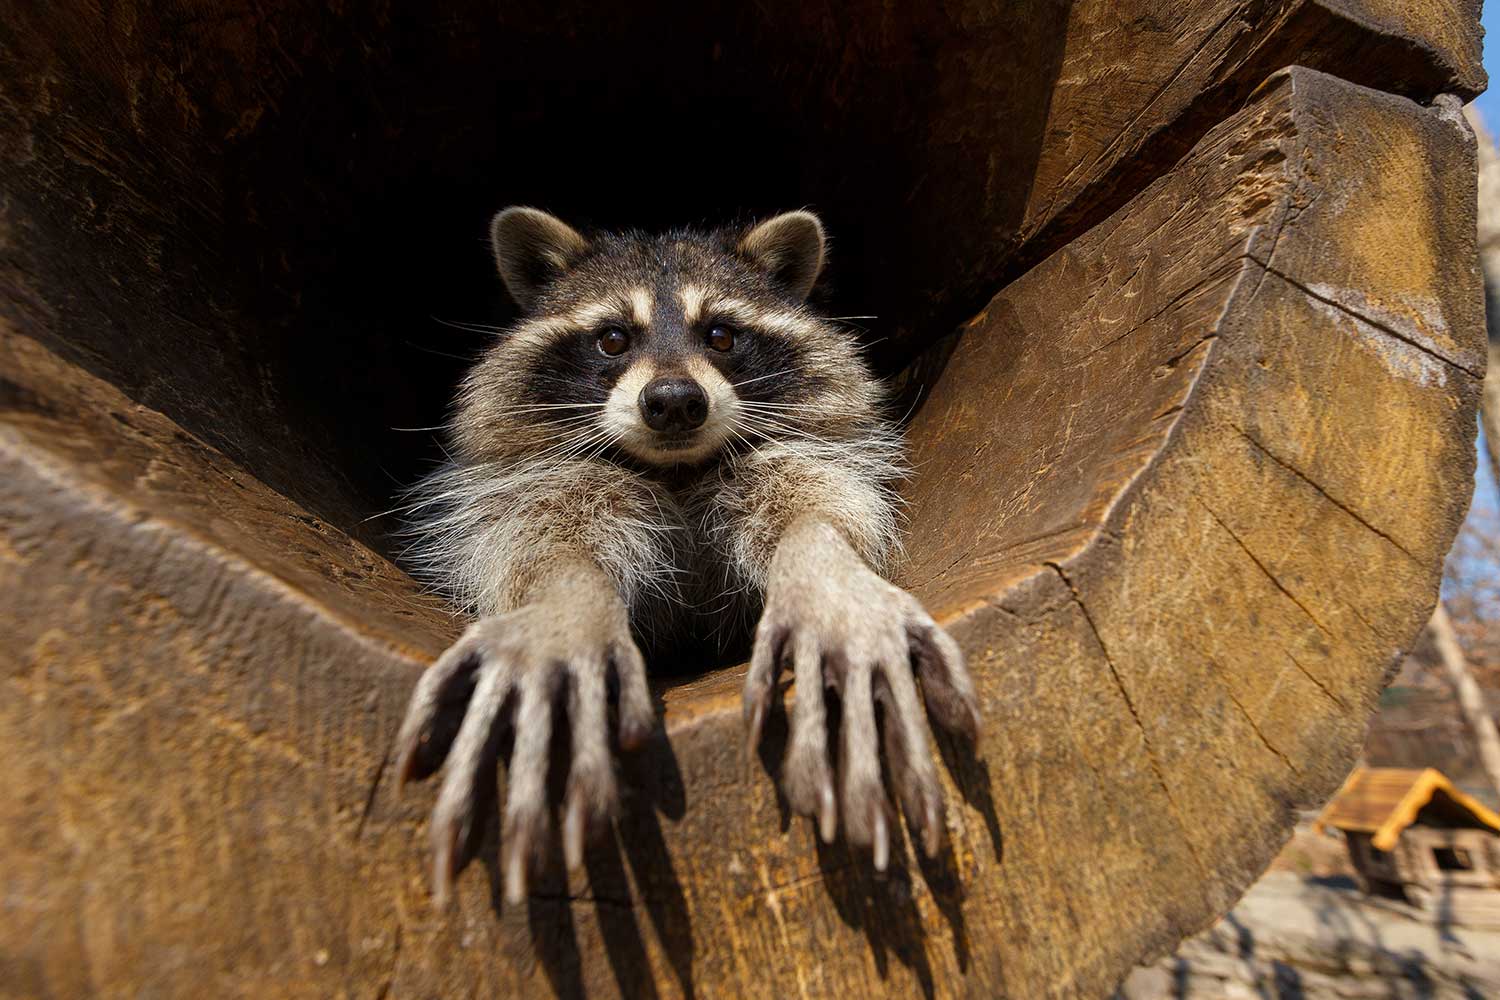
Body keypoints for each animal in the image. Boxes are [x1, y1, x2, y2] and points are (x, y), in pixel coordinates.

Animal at [393, 205, 978, 905]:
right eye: (613, 339)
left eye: (721, 335)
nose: (674, 400)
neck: (674, 470)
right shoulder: (530, 484)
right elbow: (538, 539)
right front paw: (565, 606)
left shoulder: (803, 455)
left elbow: (817, 507)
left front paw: (825, 576)